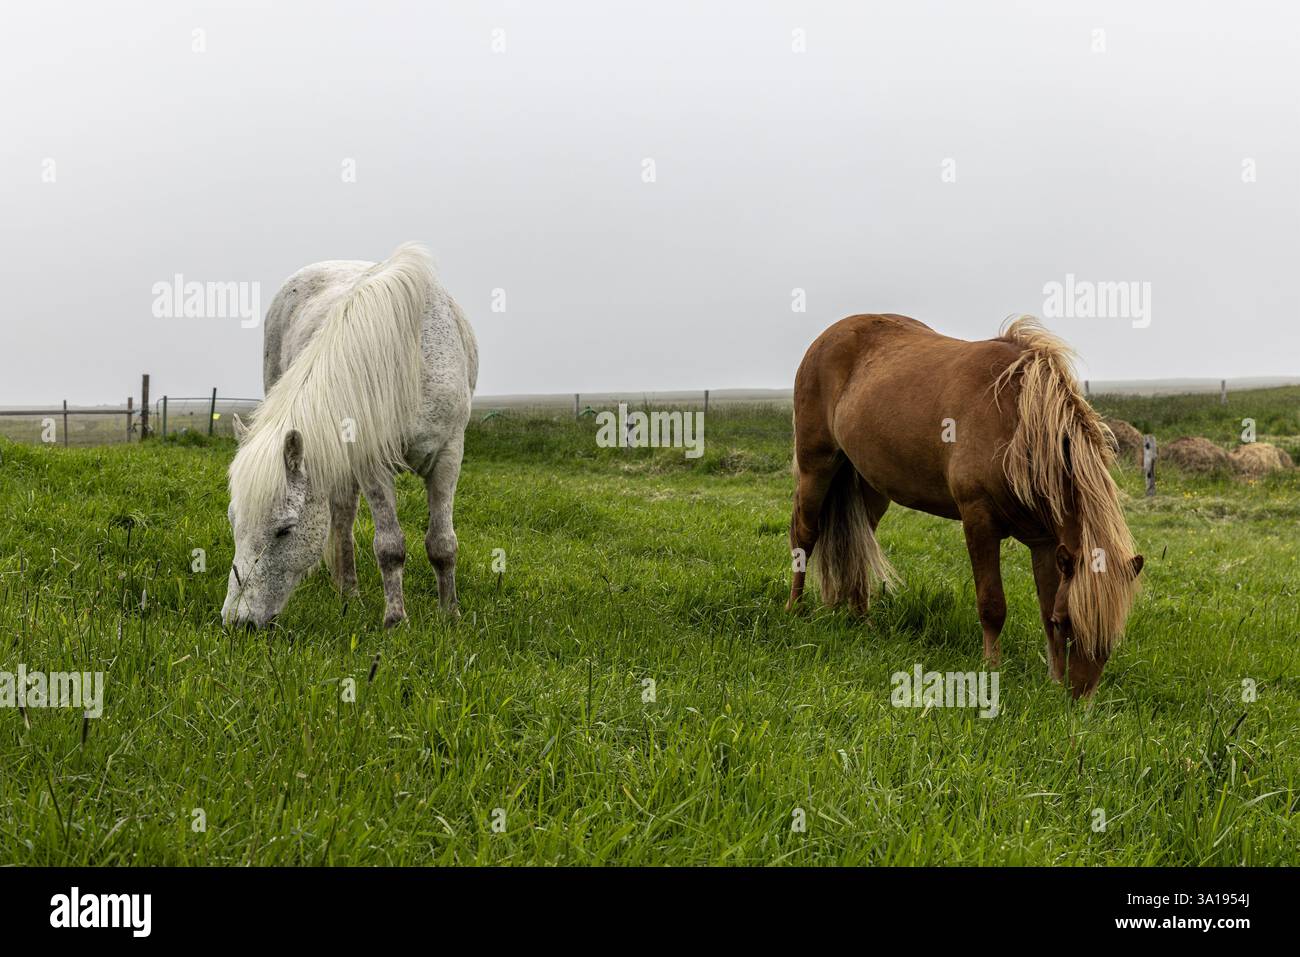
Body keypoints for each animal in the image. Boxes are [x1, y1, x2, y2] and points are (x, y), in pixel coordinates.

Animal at [221, 243, 478, 629]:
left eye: (284, 530)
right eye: (234, 522)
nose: (238, 621)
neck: (408, 358)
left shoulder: (448, 455)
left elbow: (442, 543)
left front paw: (450, 615)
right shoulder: (370, 462)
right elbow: (389, 546)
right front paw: (396, 621)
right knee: (342, 519)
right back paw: (349, 593)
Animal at [787, 314, 1143, 698]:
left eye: (1111, 638)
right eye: (1068, 622)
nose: (1078, 698)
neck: (1017, 421)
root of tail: (828, 337)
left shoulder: (1046, 543)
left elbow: (1045, 604)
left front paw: (1053, 679)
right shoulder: (979, 520)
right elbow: (992, 604)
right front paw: (991, 669)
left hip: (870, 485)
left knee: (860, 545)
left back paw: (862, 621)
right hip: (816, 466)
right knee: (804, 535)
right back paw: (795, 610)